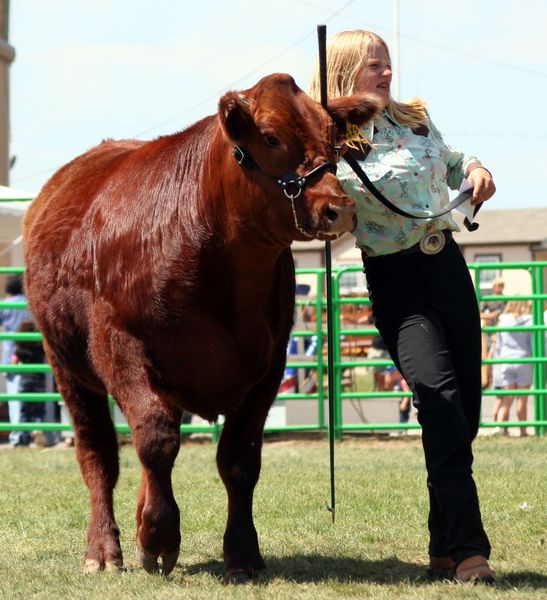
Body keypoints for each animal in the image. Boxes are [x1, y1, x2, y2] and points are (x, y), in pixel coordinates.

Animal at [23, 74, 378, 580]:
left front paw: (242, 553)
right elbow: (155, 440)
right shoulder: (119, 344)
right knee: (99, 455)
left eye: (333, 136)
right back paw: (103, 550)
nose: (339, 209)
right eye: (270, 137)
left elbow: (240, 459)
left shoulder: (270, 365)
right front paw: (159, 537)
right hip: (67, 367)